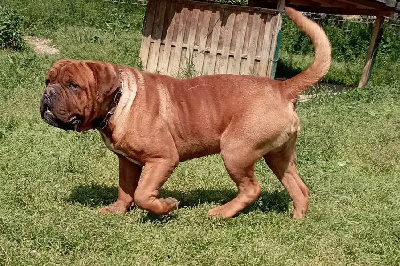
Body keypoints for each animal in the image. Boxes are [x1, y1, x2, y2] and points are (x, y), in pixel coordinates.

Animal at [39, 7, 332, 219]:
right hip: (279, 156)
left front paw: (166, 206)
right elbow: (126, 189)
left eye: (73, 85)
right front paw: (117, 210)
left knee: (251, 188)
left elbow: (143, 194)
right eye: (47, 80)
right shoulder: (128, 161)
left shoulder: (163, 158)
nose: (48, 94)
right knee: (299, 188)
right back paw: (296, 220)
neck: (119, 101)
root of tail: (281, 87)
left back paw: (221, 213)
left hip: (236, 151)